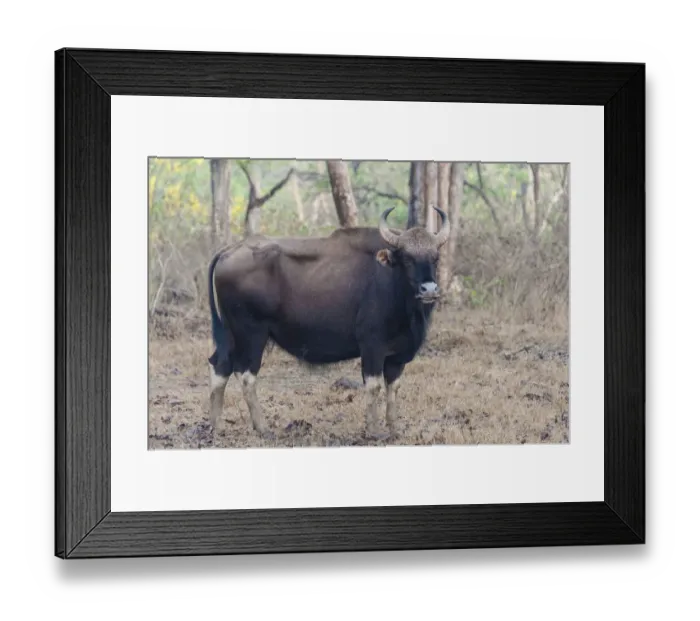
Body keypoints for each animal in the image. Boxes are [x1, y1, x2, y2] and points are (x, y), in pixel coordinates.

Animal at [206, 205, 451, 440]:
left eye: (435, 258)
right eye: (407, 258)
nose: (429, 290)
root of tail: (229, 250)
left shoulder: (397, 356)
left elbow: (393, 388)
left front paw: (394, 428)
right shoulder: (372, 346)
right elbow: (373, 386)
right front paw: (374, 430)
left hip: (230, 334)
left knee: (221, 365)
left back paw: (217, 425)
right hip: (252, 334)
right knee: (246, 375)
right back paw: (262, 427)